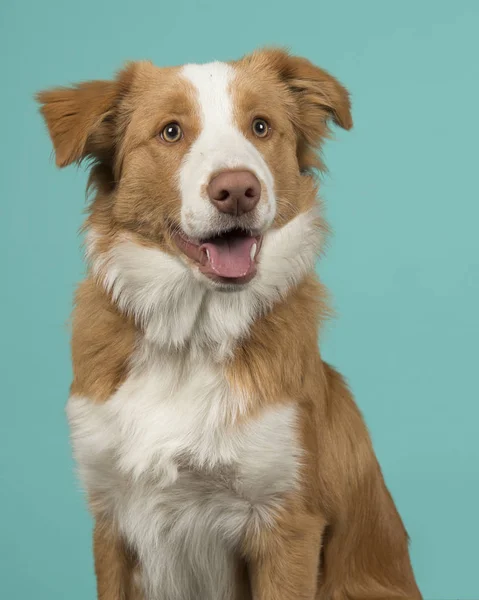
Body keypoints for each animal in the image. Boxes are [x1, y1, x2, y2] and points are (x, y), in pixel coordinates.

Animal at [37, 48, 422, 600]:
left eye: (260, 126)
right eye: (171, 132)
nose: (238, 189)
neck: (191, 338)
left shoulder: (286, 523)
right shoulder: (110, 520)